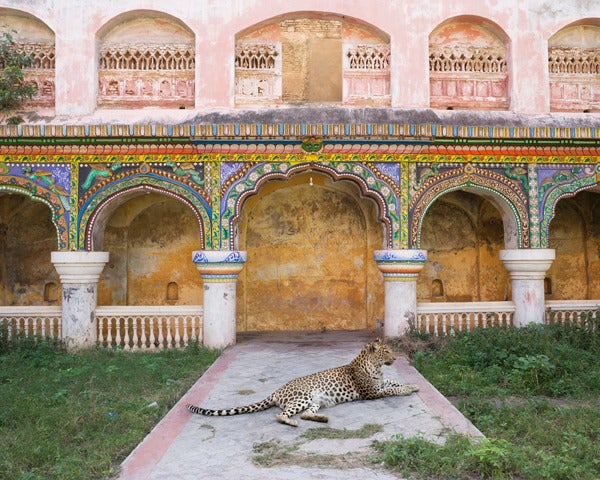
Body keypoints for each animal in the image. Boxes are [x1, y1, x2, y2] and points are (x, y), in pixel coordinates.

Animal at [185, 340, 420, 426]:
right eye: (386, 352)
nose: (395, 358)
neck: (376, 367)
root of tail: (277, 390)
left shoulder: (380, 383)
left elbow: (394, 381)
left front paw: (414, 385)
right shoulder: (372, 392)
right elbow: (393, 391)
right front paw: (408, 388)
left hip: (315, 401)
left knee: (307, 414)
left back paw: (322, 418)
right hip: (303, 397)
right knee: (281, 415)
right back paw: (292, 423)